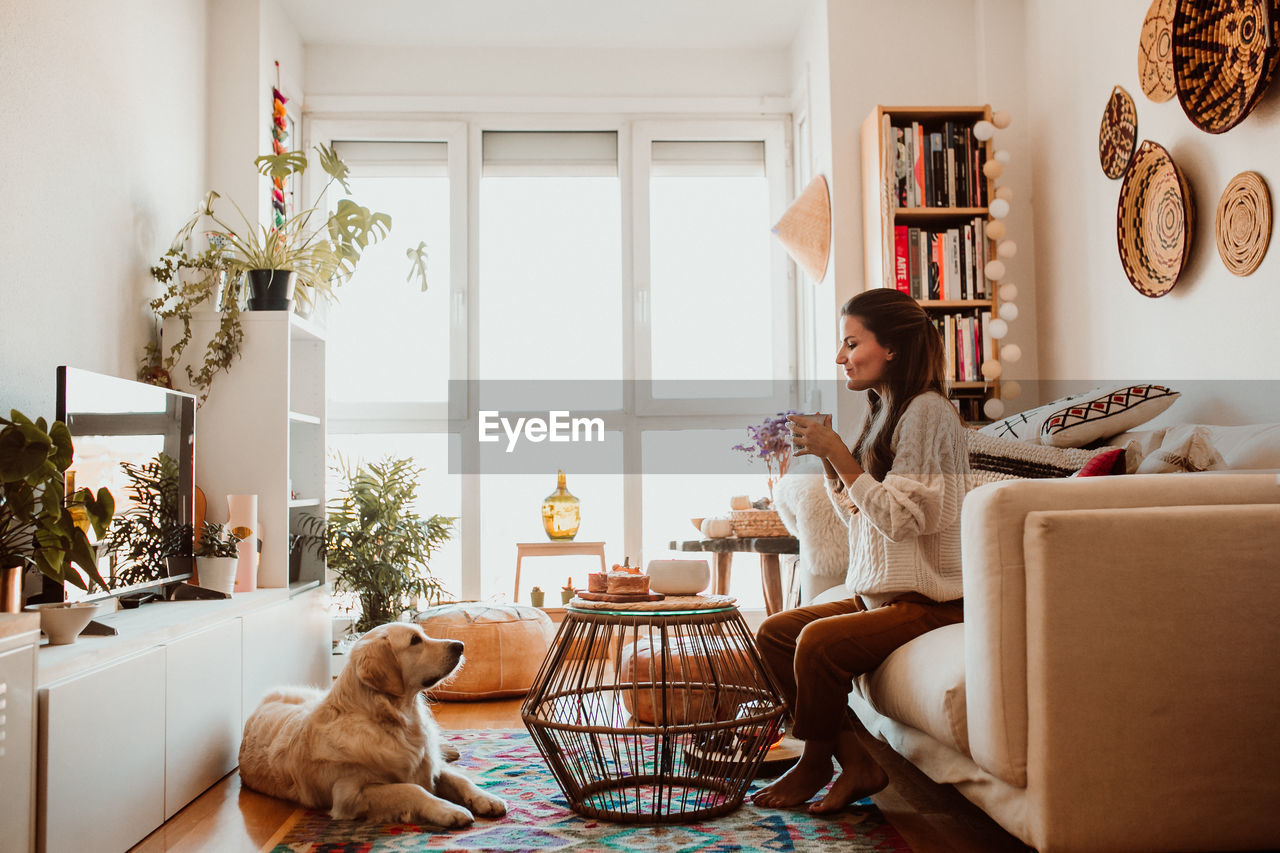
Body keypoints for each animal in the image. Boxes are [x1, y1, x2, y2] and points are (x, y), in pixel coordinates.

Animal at [238, 617, 506, 824]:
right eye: (415, 641)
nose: (461, 645)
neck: (397, 722)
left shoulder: (429, 764)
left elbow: (459, 778)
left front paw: (487, 799)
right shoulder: (350, 793)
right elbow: (412, 789)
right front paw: (448, 810)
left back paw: (449, 749)